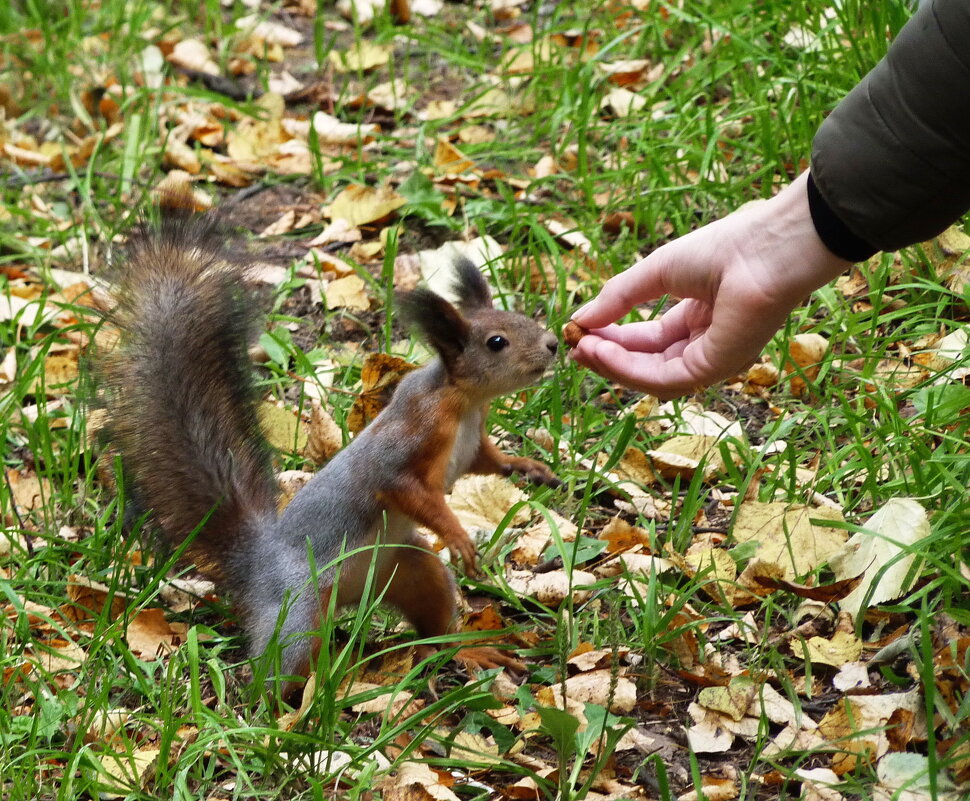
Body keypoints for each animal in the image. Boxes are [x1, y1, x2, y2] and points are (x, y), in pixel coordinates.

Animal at [100, 209, 560, 696]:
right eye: (497, 342)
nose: (553, 344)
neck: (464, 403)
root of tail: (256, 563)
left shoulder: (472, 443)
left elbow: (489, 462)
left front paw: (528, 468)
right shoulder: (409, 438)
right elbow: (404, 487)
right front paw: (457, 536)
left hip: (410, 570)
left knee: (433, 624)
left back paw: (465, 652)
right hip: (298, 612)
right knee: (277, 669)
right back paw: (291, 704)